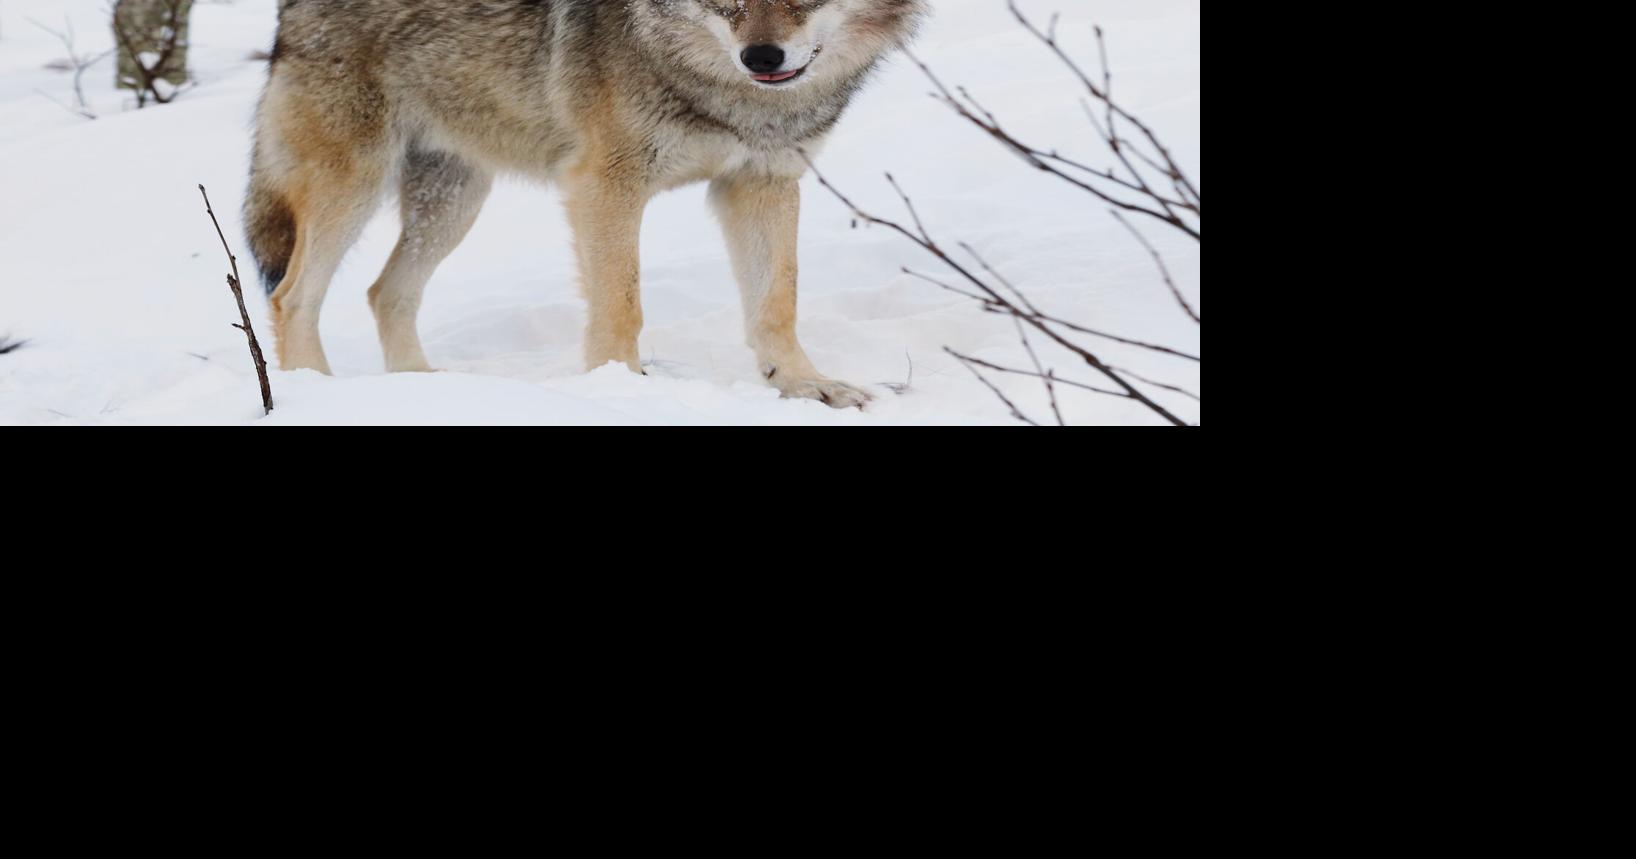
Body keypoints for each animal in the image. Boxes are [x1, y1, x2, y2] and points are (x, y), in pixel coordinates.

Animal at [244, 0, 926, 408]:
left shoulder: (763, 183)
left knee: (385, 291)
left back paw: (427, 391)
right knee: (292, 297)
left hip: (454, 200)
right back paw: (319, 396)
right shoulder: (605, 185)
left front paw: (805, 385)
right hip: (353, 186)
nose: (761, 57)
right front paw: (623, 392)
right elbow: (622, 305)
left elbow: (776, 305)